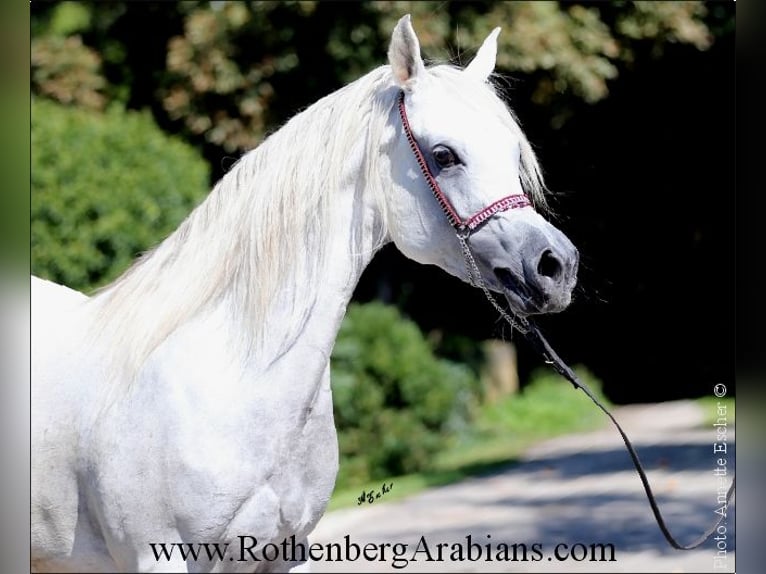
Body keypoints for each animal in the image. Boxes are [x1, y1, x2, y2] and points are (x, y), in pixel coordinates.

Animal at [33, 15, 580, 572]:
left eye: (512, 153)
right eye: (444, 155)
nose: (556, 267)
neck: (234, 376)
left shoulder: (289, 550)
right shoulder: (158, 556)